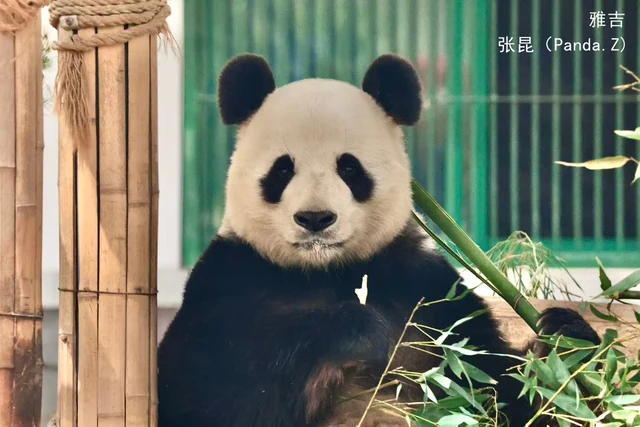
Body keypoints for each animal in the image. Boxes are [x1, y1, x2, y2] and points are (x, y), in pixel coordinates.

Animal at [157, 53, 601, 427]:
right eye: (282, 170)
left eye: (349, 168)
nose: (315, 218)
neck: (326, 272)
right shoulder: (230, 282)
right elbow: (209, 390)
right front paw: (359, 330)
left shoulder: (427, 291)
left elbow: (505, 389)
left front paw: (565, 340)